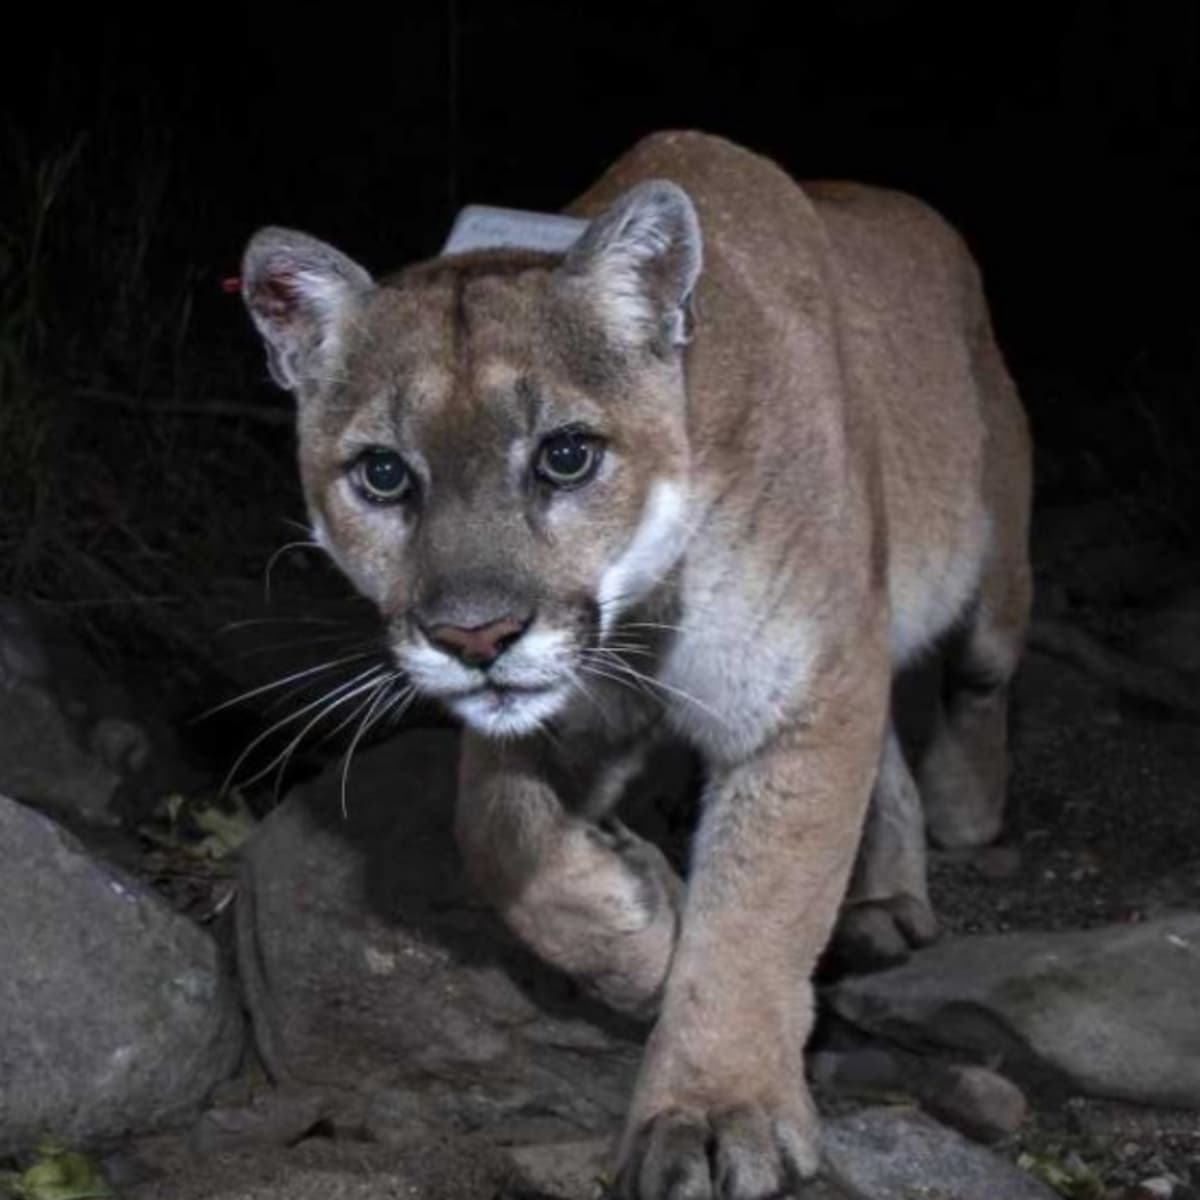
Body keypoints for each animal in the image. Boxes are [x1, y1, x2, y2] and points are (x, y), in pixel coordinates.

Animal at [241, 131, 1032, 1200]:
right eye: (384, 474)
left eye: (567, 456)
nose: (475, 639)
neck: (643, 611)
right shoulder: (563, 715)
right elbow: (495, 833)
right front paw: (643, 929)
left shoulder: (804, 693)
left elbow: (758, 909)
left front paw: (714, 1109)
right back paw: (881, 901)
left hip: (989, 563)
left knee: (979, 679)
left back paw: (962, 808)